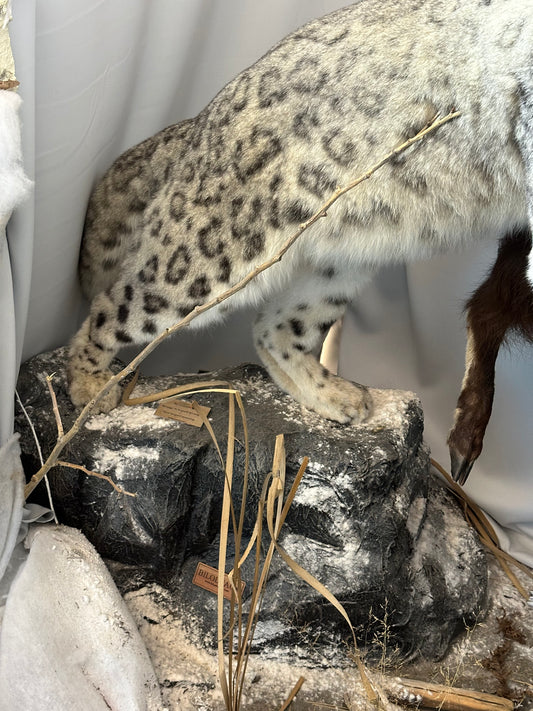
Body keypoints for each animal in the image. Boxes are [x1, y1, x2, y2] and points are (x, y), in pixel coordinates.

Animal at [68, 0, 533, 425]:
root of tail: (200, 123)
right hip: (205, 264)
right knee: (113, 306)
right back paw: (89, 386)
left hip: (339, 267)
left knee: (275, 327)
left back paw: (335, 395)